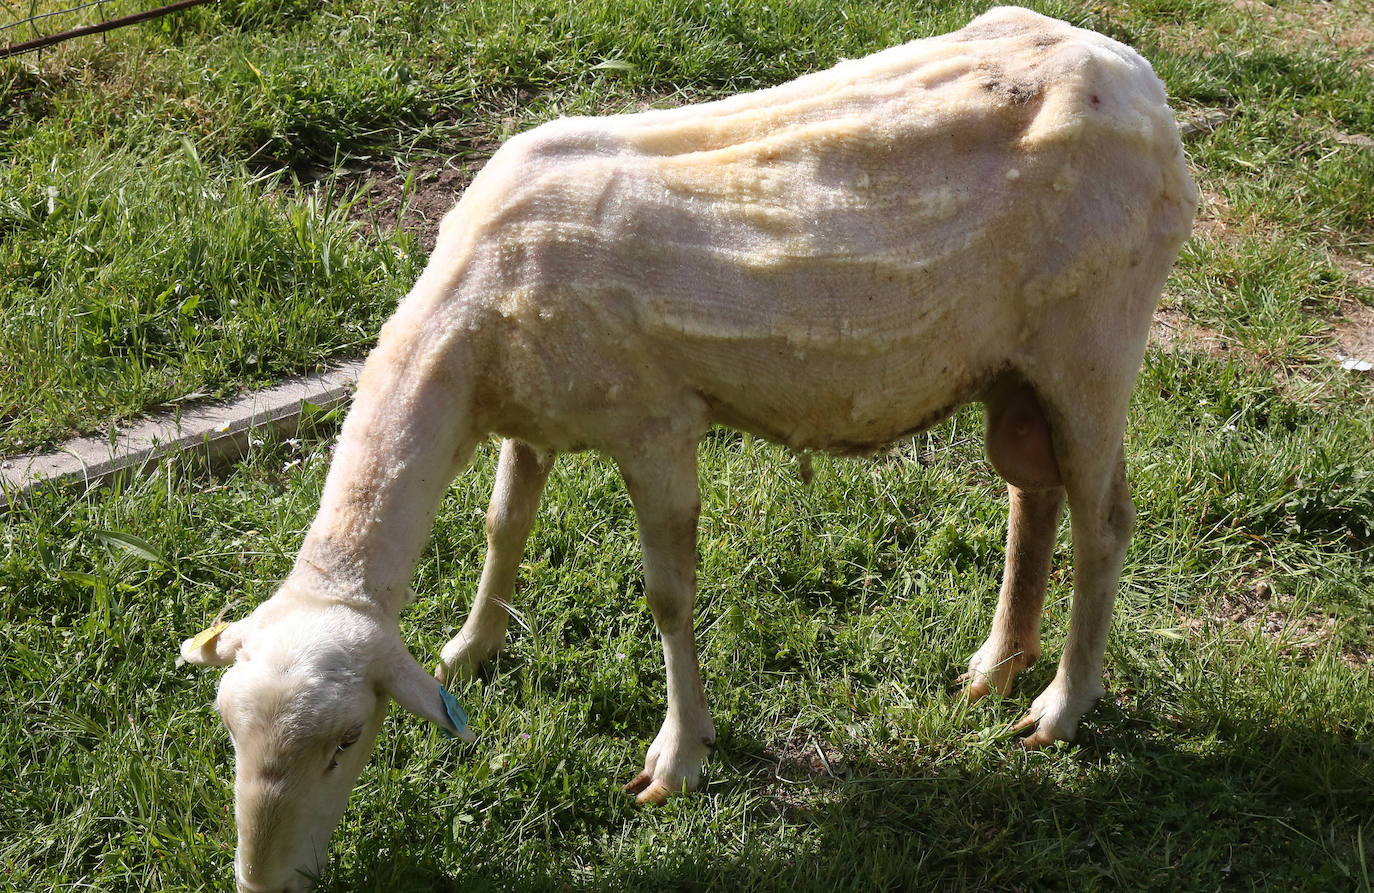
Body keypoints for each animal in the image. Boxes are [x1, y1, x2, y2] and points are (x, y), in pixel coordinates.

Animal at [179, 8, 1192, 890]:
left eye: (347, 741)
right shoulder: (533, 415)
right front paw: (471, 648)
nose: (260, 883)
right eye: (225, 730)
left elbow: (668, 594)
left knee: (1104, 522)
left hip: (1096, 340)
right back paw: (997, 664)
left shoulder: (653, 424)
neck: (470, 332)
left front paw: (677, 756)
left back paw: (1060, 706)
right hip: (1015, 364)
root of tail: (1135, 77)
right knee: (1035, 493)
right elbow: (506, 525)